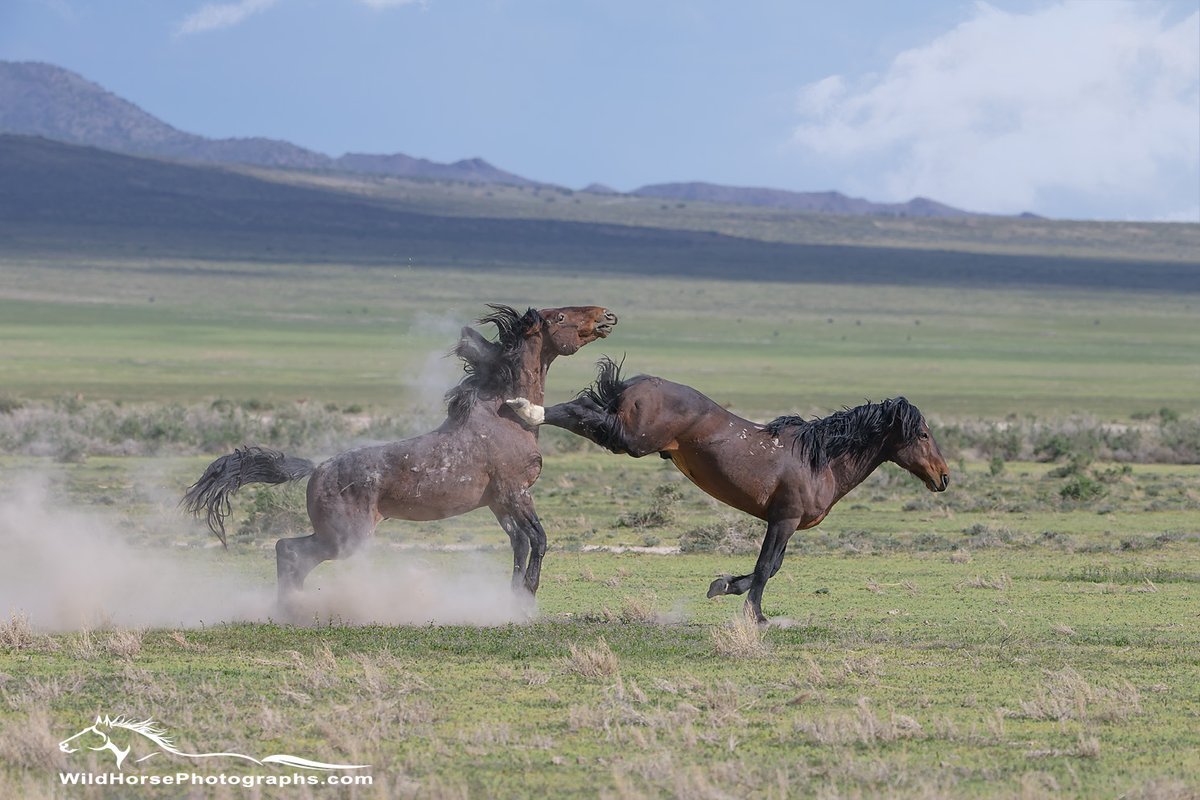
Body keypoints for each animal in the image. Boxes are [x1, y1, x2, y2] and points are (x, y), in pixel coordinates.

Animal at [189, 303, 619, 604]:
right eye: (560, 316)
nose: (605, 316)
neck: (506, 415)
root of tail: (316, 468)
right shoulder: (516, 492)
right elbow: (539, 539)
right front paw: (527, 592)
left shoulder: (501, 502)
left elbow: (519, 543)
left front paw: (514, 597)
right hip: (346, 538)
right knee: (290, 551)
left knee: (288, 552)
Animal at [506, 357, 945, 623]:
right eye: (923, 434)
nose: (943, 477)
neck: (818, 460)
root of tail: (640, 383)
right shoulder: (782, 520)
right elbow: (766, 567)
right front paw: (756, 616)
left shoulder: (787, 524)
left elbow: (770, 567)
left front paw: (723, 586)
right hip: (630, 439)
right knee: (580, 412)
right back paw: (525, 409)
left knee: (582, 410)